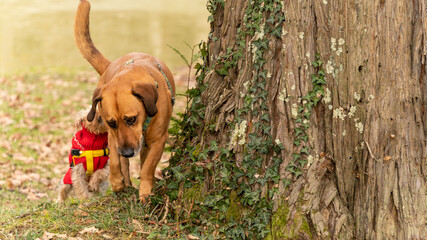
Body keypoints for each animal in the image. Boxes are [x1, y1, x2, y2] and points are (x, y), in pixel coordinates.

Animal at [74, 0, 175, 201]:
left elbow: (147, 168)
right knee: (123, 163)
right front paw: (117, 183)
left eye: (132, 119)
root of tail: (111, 64)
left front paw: (145, 192)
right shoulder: (114, 137)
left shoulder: (158, 140)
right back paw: (125, 182)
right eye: (111, 123)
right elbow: (114, 161)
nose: (128, 153)